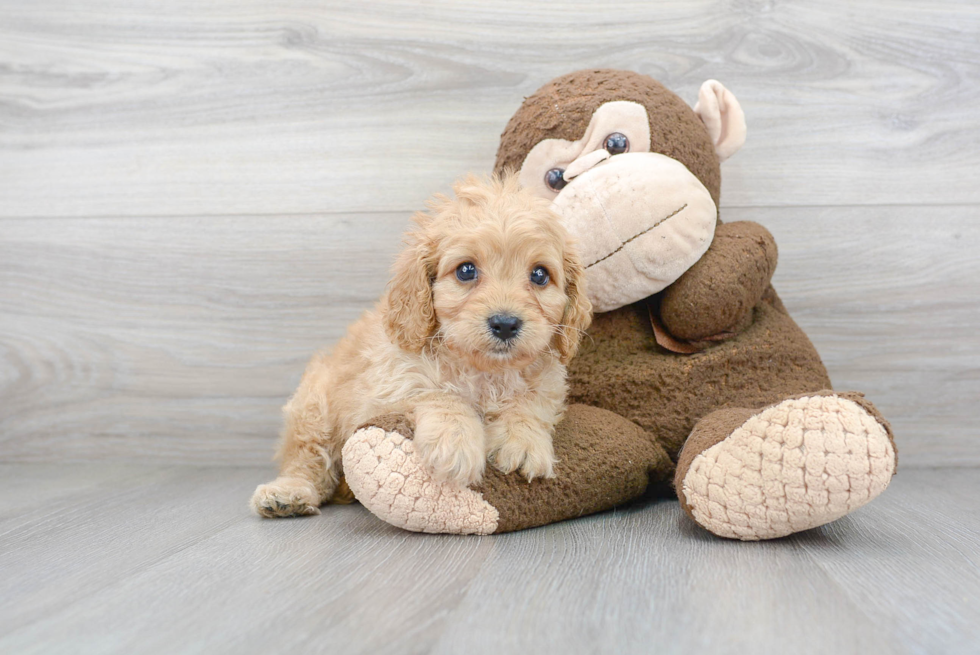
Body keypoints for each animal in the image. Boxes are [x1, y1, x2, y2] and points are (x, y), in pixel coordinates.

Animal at [251, 173, 588, 516]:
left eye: (540, 275)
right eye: (466, 270)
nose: (505, 323)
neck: (484, 371)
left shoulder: (548, 386)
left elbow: (528, 404)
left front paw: (522, 441)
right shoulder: (387, 389)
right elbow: (439, 394)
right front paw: (455, 441)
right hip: (313, 406)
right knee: (307, 459)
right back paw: (288, 494)